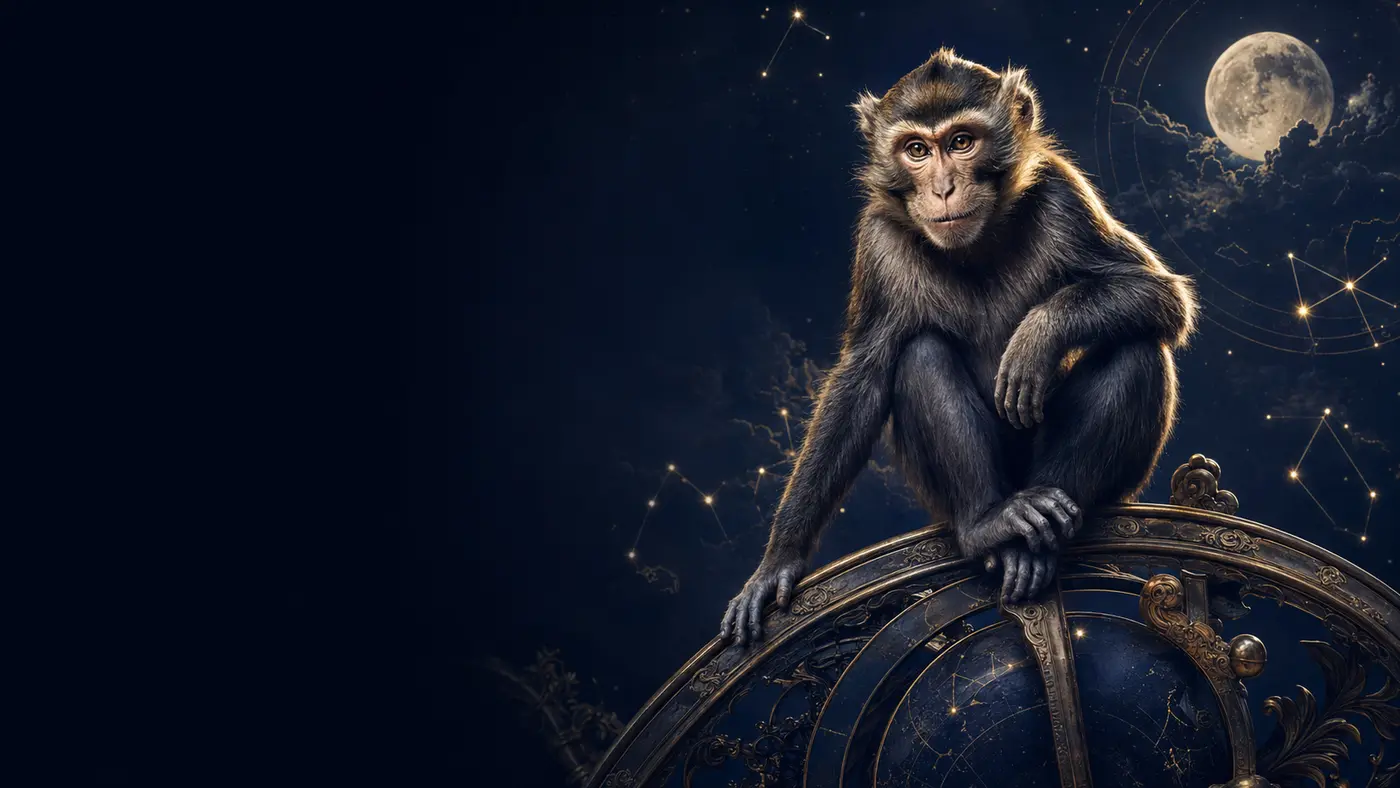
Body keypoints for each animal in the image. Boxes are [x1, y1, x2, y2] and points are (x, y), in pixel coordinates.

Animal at [719, 49, 1198, 645]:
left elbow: (1158, 294)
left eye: (962, 142)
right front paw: (778, 560)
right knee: (920, 353)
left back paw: (1047, 531)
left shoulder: (1064, 198)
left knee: (1135, 346)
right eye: (917, 151)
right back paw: (988, 526)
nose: (943, 187)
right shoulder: (877, 240)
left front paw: (1040, 333)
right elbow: (863, 378)